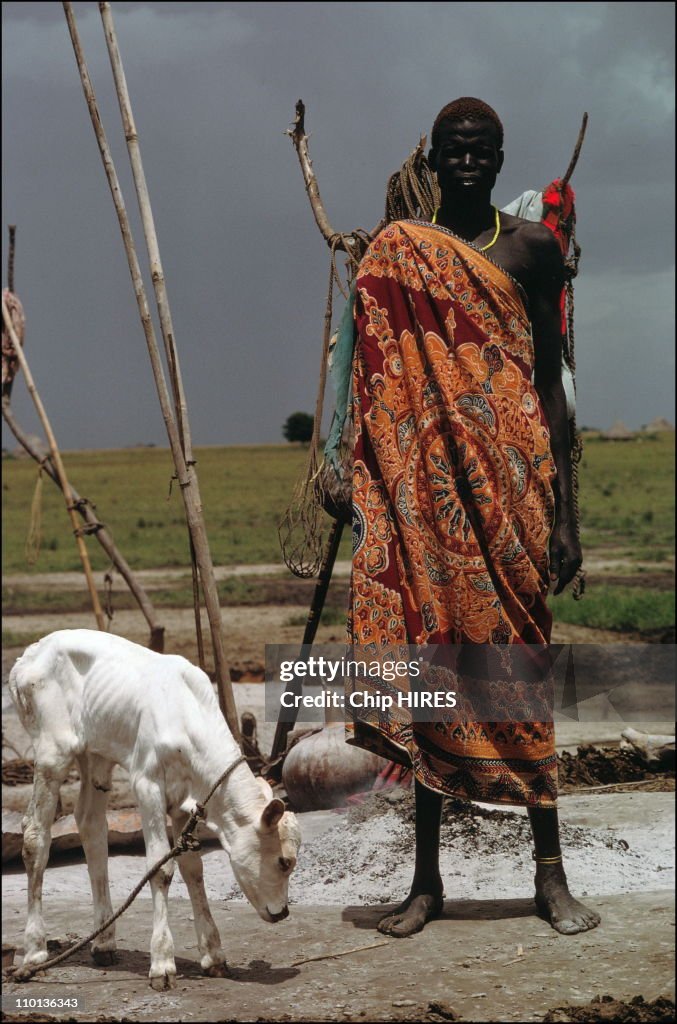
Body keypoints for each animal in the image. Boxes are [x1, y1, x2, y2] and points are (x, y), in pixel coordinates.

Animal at [9, 626, 299, 987]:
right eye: (283, 862)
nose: (283, 912)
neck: (187, 716)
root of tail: (30, 653)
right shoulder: (146, 785)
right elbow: (161, 868)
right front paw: (162, 962)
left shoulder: (185, 801)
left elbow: (192, 867)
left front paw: (213, 954)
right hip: (52, 752)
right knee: (35, 837)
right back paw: (35, 951)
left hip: (96, 754)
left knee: (91, 828)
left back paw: (103, 942)